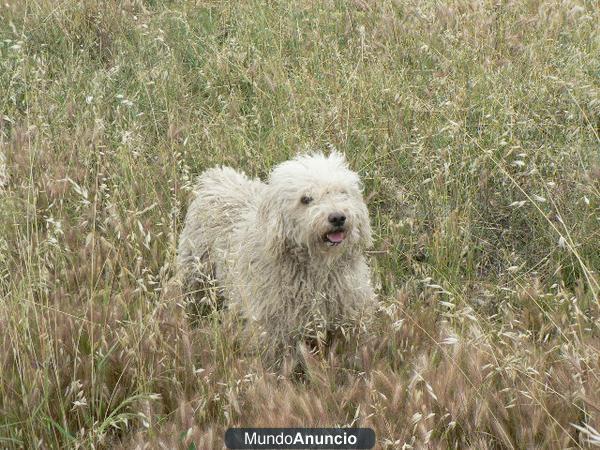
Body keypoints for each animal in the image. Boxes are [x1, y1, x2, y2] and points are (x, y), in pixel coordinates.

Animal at [177, 153, 376, 364]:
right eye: (306, 199)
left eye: (342, 192)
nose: (337, 217)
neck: (315, 269)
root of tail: (215, 177)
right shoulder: (272, 328)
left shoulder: (349, 317)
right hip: (195, 273)